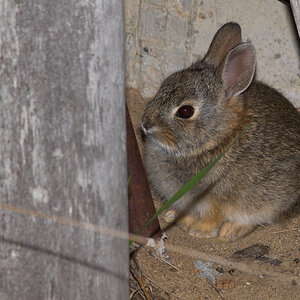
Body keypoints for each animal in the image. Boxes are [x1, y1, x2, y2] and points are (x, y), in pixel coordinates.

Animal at [141, 22, 300, 240]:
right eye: (165, 83)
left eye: (185, 111)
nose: (145, 123)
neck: (218, 138)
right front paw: (173, 215)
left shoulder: (214, 200)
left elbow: (213, 218)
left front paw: (199, 230)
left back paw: (231, 230)